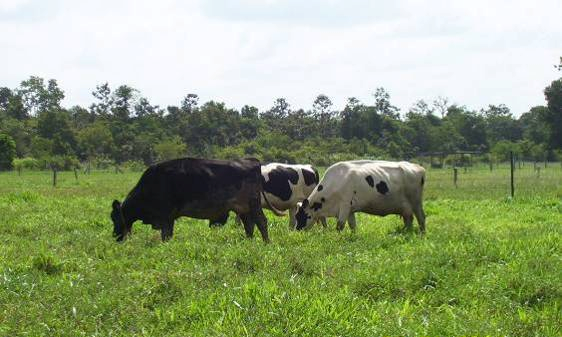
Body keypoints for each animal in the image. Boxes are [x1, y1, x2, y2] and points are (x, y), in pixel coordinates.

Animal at [110, 158, 284, 242]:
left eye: (114, 217)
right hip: (242, 208)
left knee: (261, 222)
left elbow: (166, 236)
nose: (115, 236)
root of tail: (252, 161)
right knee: (249, 225)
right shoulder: (168, 219)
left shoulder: (165, 217)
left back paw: (266, 242)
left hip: (253, 204)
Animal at [294, 159, 424, 231]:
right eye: (296, 216)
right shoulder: (350, 210)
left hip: (416, 203)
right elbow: (353, 226)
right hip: (406, 207)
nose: (297, 231)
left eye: (303, 216)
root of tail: (418, 167)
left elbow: (340, 226)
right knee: (409, 219)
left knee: (421, 218)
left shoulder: (345, 205)